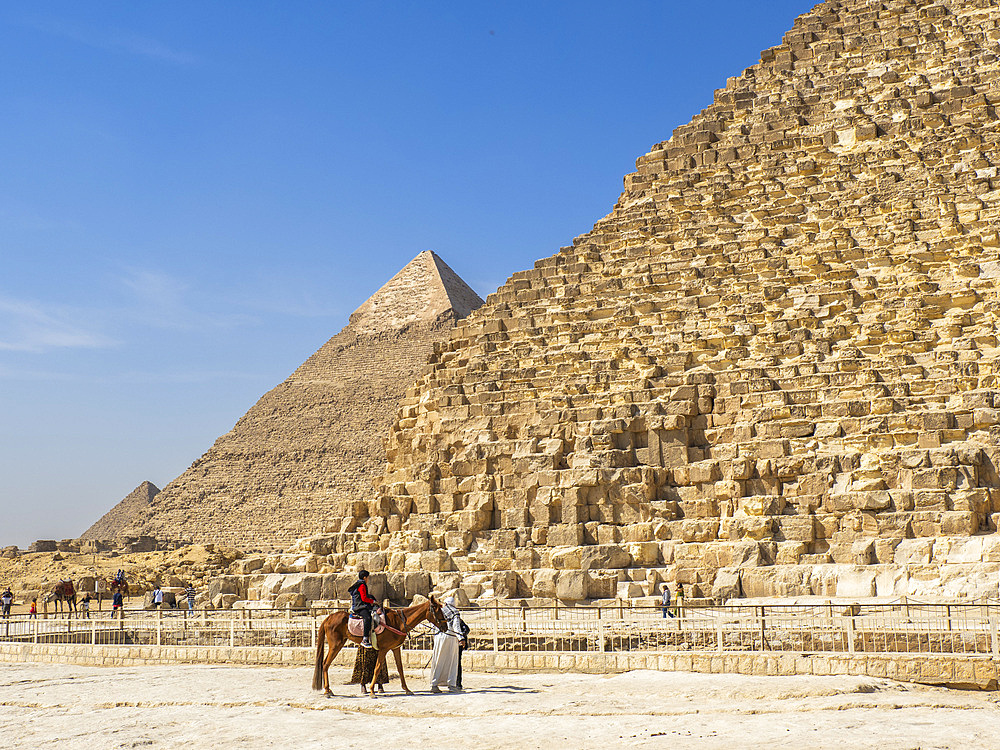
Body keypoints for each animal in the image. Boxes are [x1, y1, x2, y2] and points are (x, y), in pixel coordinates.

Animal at [310, 600, 448, 700]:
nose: (445, 626)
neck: (398, 622)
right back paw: (327, 691)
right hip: (336, 645)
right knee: (325, 664)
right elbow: (377, 668)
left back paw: (329, 690)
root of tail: (328, 618)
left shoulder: (395, 648)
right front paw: (372, 691)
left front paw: (407, 689)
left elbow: (400, 669)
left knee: (325, 664)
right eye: (439, 612)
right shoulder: (383, 649)